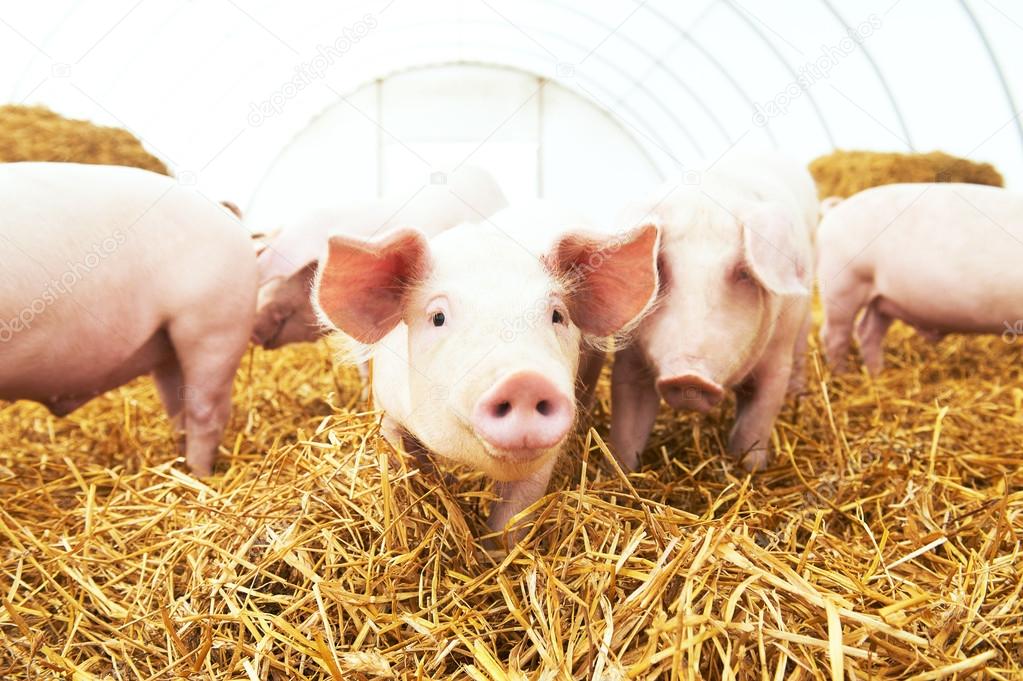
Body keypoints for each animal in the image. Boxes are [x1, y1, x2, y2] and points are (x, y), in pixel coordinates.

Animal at [0, 162, 257, 475]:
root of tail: (224, 213)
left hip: (214, 327)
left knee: (206, 414)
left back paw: (199, 477)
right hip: (170, 350)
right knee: (179, 411)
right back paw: (178, 468)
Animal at [313, 201, 660, 536]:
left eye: (557, 315)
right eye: (438, 317)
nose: (524, 380)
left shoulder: (543, 456)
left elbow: (513, 518)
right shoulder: (387, 410)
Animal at [610, 152, 818, 472]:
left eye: (743, 272)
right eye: (660, 265)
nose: (688, 378)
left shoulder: (776, 360)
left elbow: (755, 424)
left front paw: (751, 469)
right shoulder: (629, 359)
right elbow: (627, 427)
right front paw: (618, 471)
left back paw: (798, 394)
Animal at [818, 182, 1023, 375]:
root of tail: (835, 210)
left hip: (880, 299)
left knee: (867, 332)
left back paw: (876, 376)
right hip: (843, 284)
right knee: (834, 335)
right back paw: (843, 376)